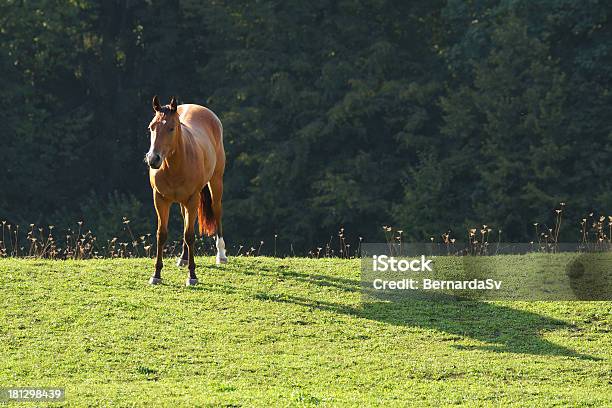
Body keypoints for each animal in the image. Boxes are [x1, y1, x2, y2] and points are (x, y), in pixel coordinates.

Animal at [145, 96, 227, 286]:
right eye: (151, 127)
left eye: (171, 128)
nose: (153, 159)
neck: (175, 166)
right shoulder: (160, 199)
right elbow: (162, 234)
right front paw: (156, 274)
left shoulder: (192, 199)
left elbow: (189, 235)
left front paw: (192, 276)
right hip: (184, 202)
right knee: (185, 220)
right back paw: (183, 257)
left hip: (215, 182)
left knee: (217, 211)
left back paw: (221, 255)